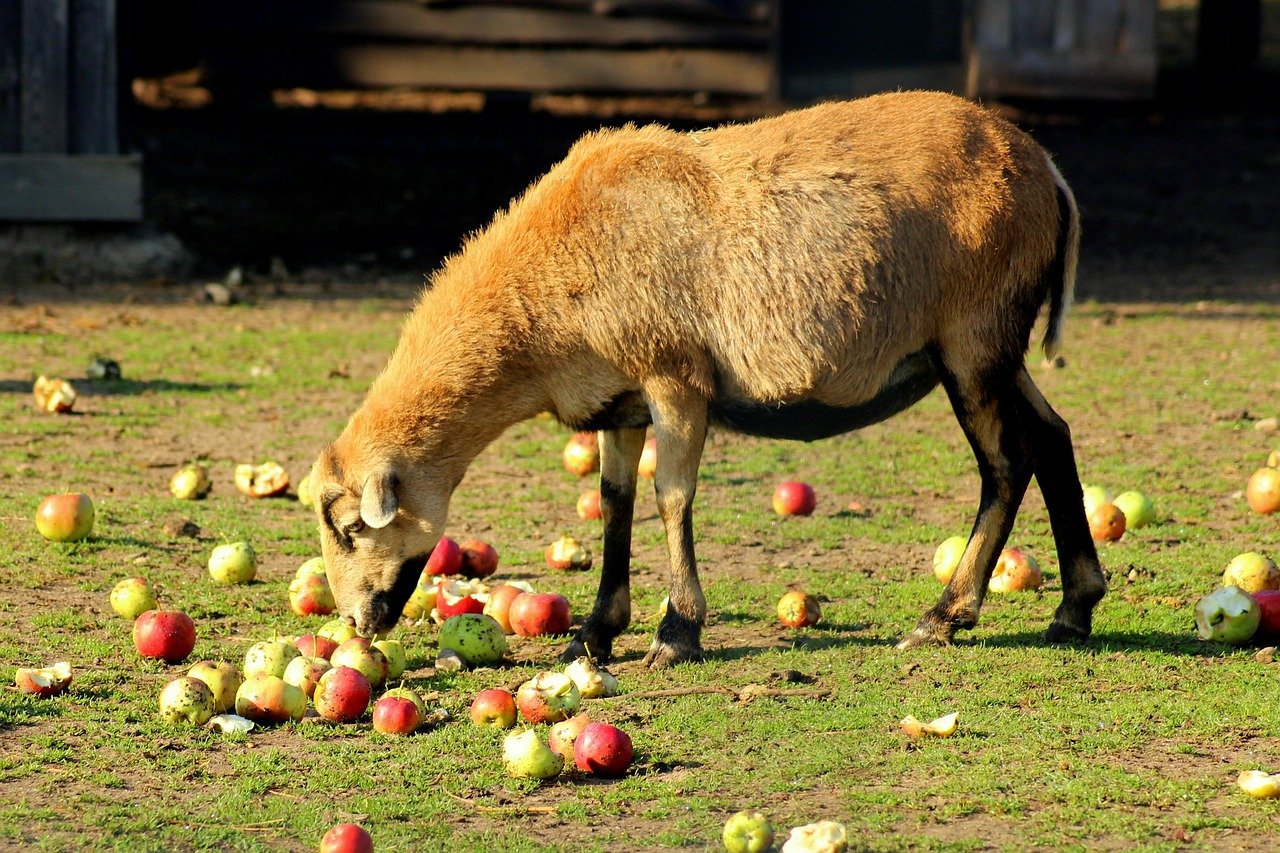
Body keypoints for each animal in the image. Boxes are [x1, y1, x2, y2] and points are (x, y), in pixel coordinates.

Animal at [310, 90, 1107, 668]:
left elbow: (671, 497)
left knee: (1006, 463)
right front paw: (594, 634)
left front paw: (675, 632)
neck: (538, 308)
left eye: (349, 528)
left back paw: (944, 616)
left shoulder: (674, 375)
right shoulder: (621, 398)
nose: (358, 620)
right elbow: (616, 502)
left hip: (972, 339)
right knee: (1054, 436)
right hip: (998, 348)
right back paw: (1074, 608)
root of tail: (1047, 168)